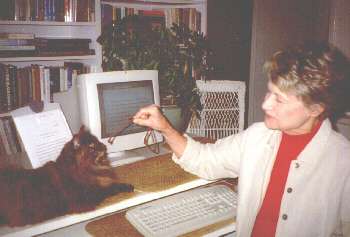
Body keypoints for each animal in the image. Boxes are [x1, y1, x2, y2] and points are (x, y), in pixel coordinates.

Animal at [0, 125, 133, 227]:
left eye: (97, 141)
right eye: (92, 146)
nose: (104, 146)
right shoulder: (88, 195)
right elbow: (112, 187)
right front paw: (127, 186)